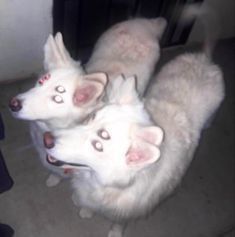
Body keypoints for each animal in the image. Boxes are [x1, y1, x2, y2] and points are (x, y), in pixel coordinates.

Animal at [45, 51, 224, 237]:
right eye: (90, 118)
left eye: (98, 145)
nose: (47, 139)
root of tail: (203, 59)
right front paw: (87, 210)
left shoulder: (125, 213)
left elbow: (118, 223)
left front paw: (114, 232)